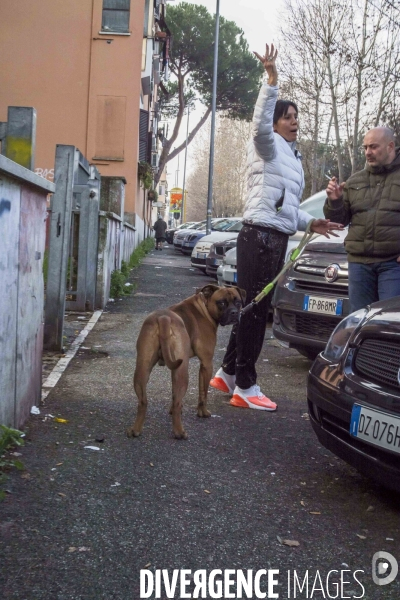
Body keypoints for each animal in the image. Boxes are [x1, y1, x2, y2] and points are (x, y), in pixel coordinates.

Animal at [128, 284, 245, 438]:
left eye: (238, 302)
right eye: (221, 303)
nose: (234, 312)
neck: (204, 306)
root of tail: (164, 319)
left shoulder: (174, 369)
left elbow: (173, 393)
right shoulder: (206, 363)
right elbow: (203, 393)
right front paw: (203, 412)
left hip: (143, 368)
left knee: (143, 402)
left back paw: (135, 430)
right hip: (183, 372)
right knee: (177, 402)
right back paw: (179, 432)